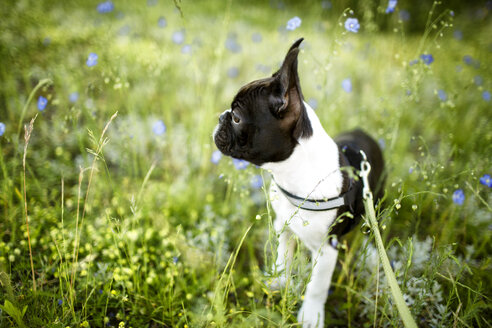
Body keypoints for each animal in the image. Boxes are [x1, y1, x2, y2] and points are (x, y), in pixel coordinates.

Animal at [213, 37, 386, 326]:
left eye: (236, 118)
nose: (220, 117)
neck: (294, 176)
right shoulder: (283, 226)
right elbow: (282, 258)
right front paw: (278, 282)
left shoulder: (327, 250)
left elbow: (317, 287)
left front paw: (311, 315)